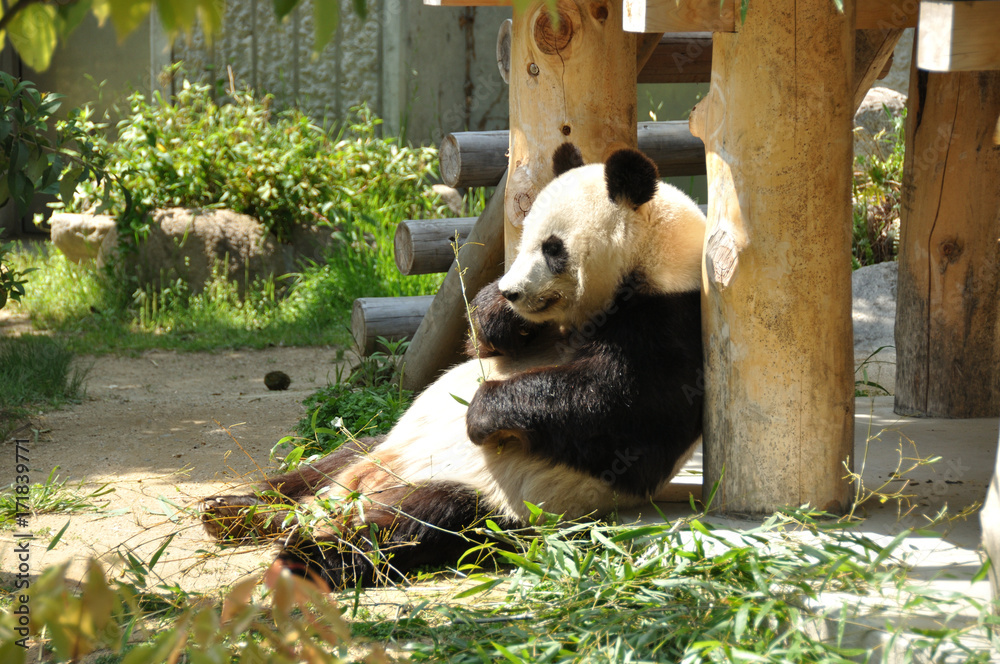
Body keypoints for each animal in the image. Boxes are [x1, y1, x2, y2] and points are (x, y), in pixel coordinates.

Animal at [201, 143, 704, 588]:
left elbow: (621, 410)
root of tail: (345, 499)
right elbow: (479, 347)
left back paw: (303, 552)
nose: (512, 291)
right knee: (322, 465)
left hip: (495, 498)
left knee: (414, 524)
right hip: (379, 446)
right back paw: (236, 509)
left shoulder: (671, 318)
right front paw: (498, 314)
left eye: (553, 248)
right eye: (522, 239)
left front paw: (482, 413)